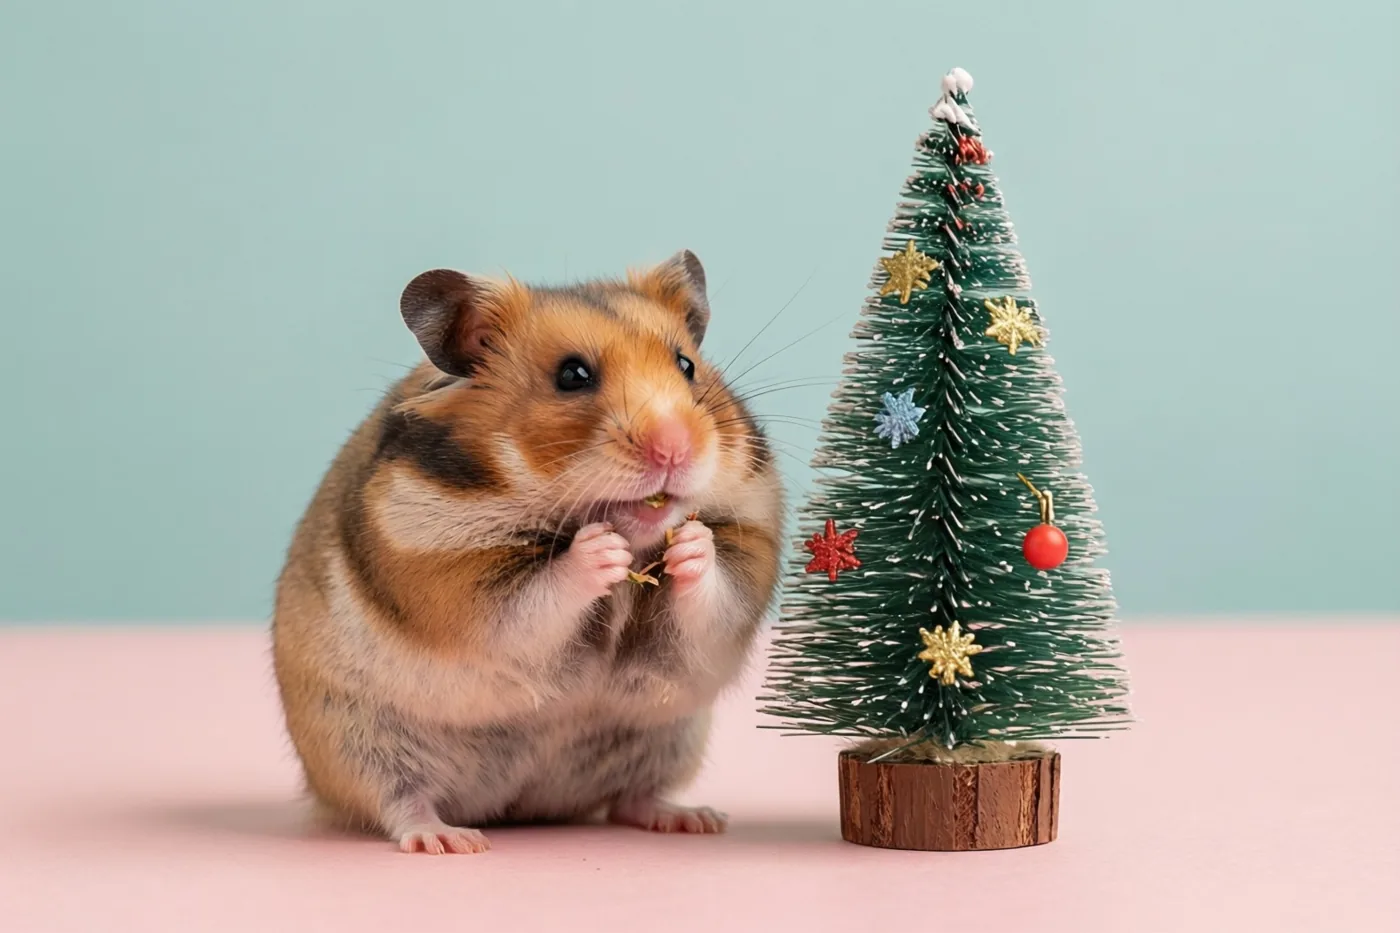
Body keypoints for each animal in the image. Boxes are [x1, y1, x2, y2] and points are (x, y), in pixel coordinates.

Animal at [271, 250, 784, 853]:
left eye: (686, 365)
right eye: (572, 375)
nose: (674, 449)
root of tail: (520, 805)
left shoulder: (750, 548)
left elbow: (716, 596)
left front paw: (690, 545)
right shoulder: (450, 574)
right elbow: (535, 601)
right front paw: (600, 550)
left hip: (667, 739)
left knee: (631, 798)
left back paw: (695, 819)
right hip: (359, 743)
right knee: (399, 803)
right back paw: (452, 840)